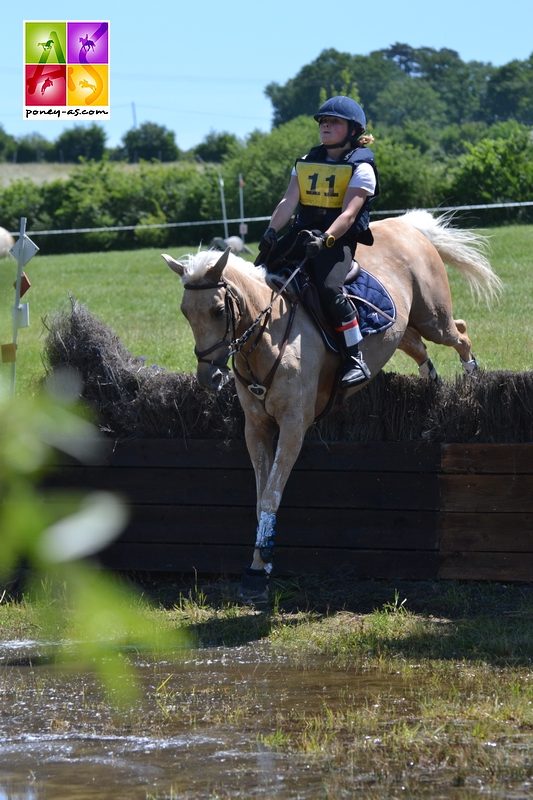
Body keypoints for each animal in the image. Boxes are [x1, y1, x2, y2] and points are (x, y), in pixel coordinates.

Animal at [161, 209, 498, 604]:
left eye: (217, 311)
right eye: (185, 312)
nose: (209, 377)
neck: (268, 339)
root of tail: (405, 224)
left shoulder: (294, 426)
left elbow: (271, 497)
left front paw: (259, 573)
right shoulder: (256, 427)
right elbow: (261, 498)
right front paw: (259, 566)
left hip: (432, 316)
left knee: (459, 334)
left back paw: (473, 382)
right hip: (402, 330)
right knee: (420, 348)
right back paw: (434, 387)